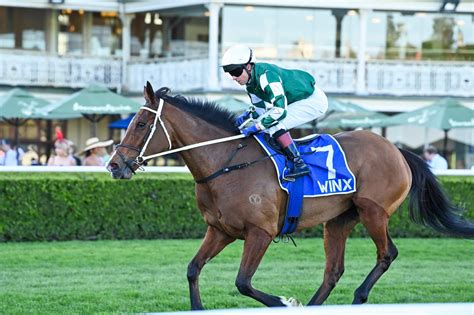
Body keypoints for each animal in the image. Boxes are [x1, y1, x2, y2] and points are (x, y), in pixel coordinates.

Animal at [107, 82, 474, 312]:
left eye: (141, 124)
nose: (114, 165)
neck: (226, 163)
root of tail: (398, 150)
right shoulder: (220, 230)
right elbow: (193, 269)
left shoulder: (260, 233)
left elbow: (243, 282)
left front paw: (285, 302)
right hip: (339, 220)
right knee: (333, 270)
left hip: (374, 212)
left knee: (387, 254)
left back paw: (358, 296)